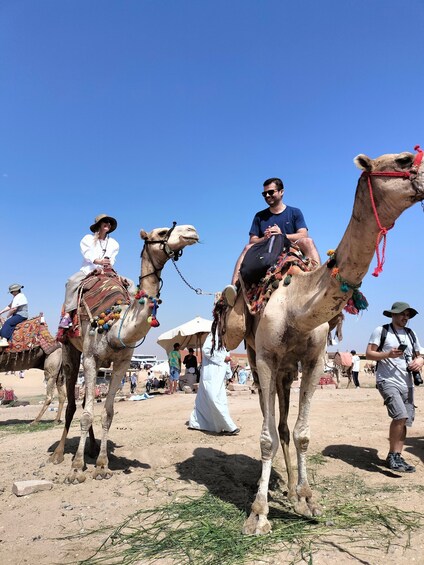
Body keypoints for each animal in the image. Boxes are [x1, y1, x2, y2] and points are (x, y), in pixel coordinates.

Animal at [50, 223, 200, 482]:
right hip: (70, 349)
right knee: (72, 404)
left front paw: (101, 464)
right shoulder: (90, 359)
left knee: (86, 403)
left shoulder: (121, 364)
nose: (192, 230)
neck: (115, 324)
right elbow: (86, 413)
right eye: (161, 232)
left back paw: (91, 449)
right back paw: (59, 454)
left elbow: (107, 413)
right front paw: (76, 468)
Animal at [219, 147, 424, 532]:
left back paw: (287, 488)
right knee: (272, 425)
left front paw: (307, 499)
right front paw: (258, 514)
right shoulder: (266, 358)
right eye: (404, 159)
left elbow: (302, 433)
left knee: (284, 426)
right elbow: (266, 438)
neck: (296, 304)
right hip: (254, 358)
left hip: (287, 371)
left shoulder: (313, 361)